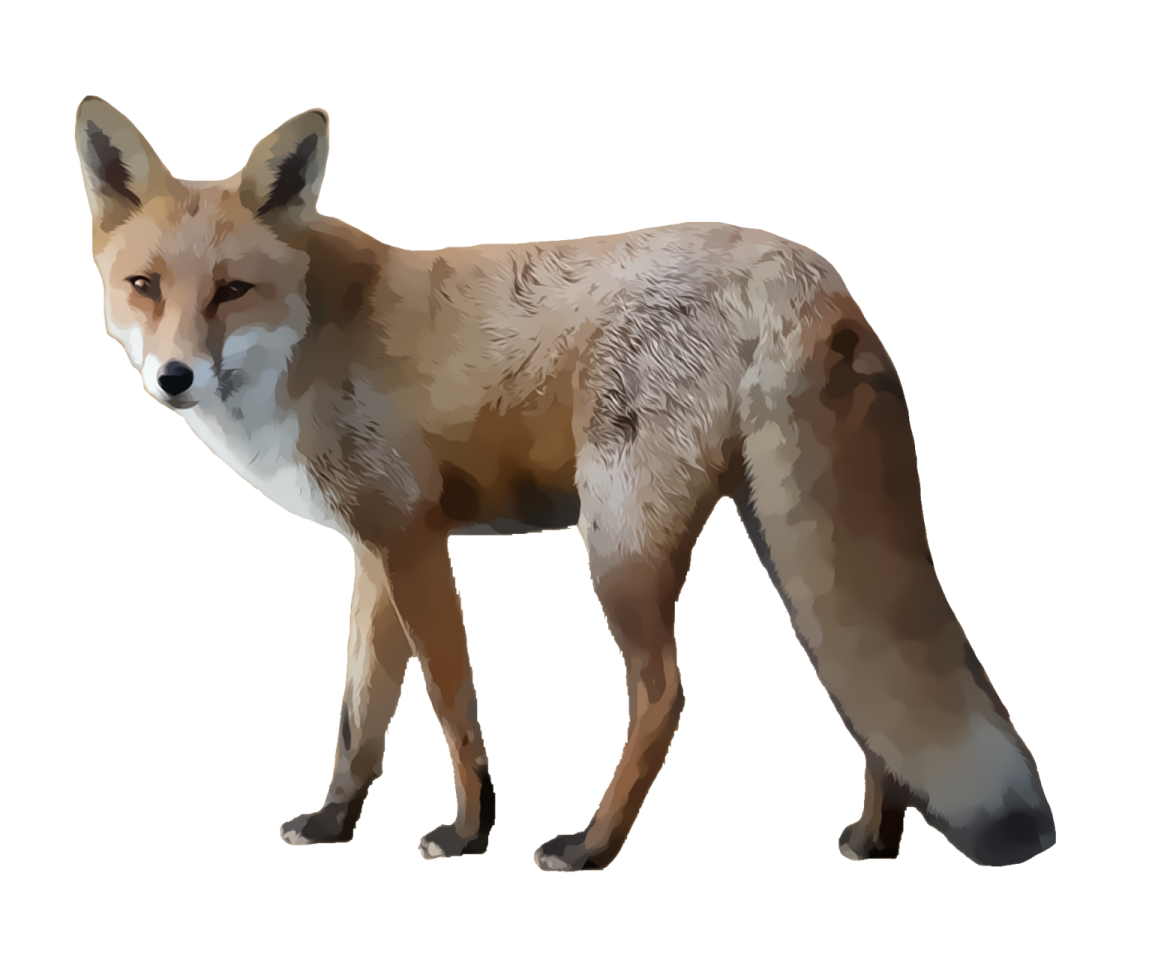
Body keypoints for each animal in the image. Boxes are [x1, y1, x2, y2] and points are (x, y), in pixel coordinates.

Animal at [75, 95, 1056, 869]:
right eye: (144, 286)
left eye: (231, 290)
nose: (173, 378)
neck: (310, 338)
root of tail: (809, 269)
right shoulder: (374, 549)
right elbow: (361, 716)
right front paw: (331, 823)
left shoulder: (413, 540)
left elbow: (452, 704)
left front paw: (467, 836)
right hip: (780, 537)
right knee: (856, 687)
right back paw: (874, 839)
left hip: (617, 544)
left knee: (666, 696)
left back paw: (590, 847)